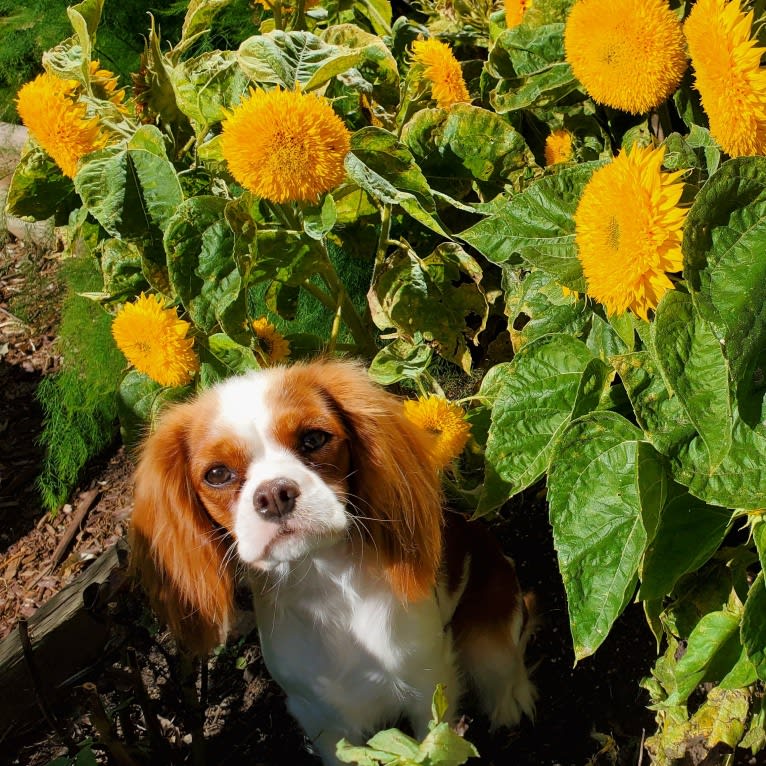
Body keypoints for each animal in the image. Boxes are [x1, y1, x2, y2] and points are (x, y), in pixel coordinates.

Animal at [130, 362, 540, 766]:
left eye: (313, 439)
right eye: (217, 474)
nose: (273, 494)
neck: (324, 583)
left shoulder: (428, 684)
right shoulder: (319, 718)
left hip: (487, 637)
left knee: (505, 662)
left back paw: (511, 701)